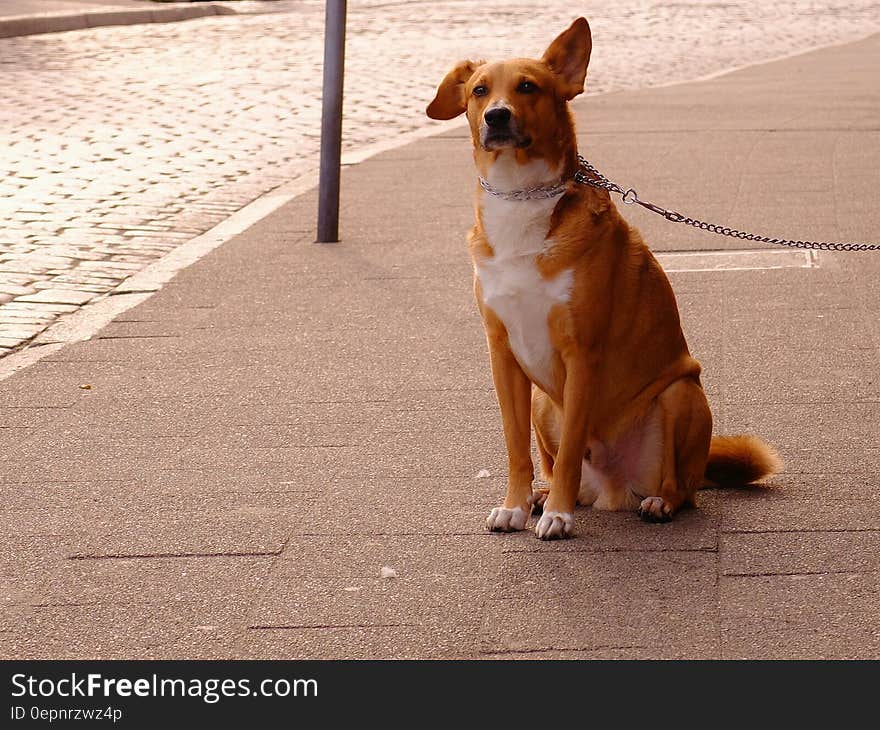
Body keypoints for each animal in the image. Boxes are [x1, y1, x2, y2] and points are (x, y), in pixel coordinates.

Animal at [430, 15, 780, 536]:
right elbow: (517, 448)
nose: (497, 116)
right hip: (544, 403)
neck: (520, 197)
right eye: (479, 90)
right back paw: (539, 497)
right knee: (555, 462)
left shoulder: (582, 354)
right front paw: (516, 505)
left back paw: (652, 503)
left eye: (528, 87)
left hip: (681, 396)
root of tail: (613, 489)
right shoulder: (503, 355)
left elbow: (572, 450)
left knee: (680, 486)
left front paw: (559, 515)